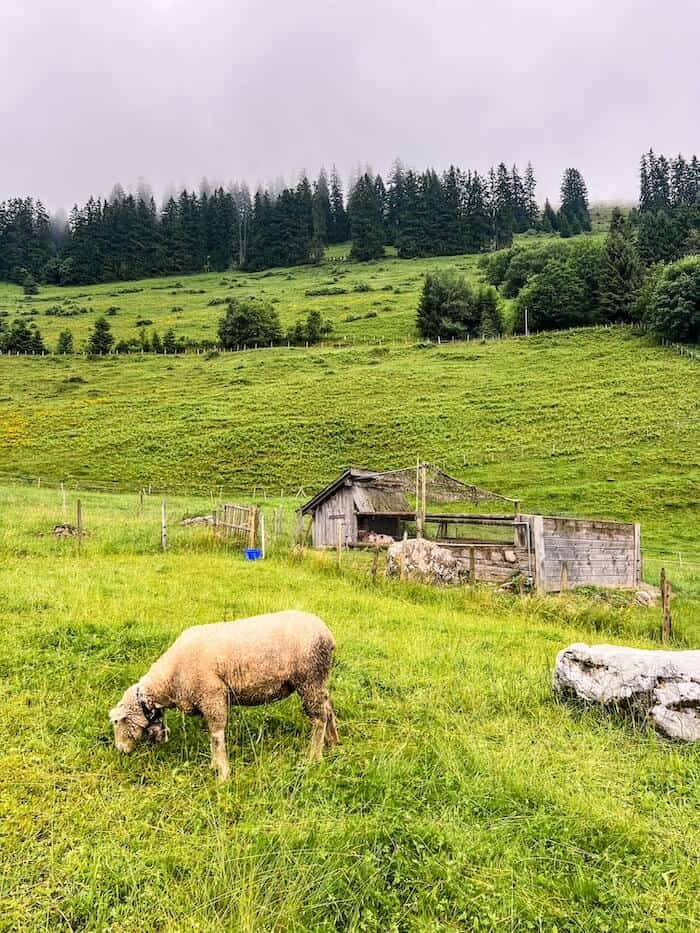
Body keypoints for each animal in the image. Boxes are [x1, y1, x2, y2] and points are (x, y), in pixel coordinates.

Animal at [109, 610, 338, 781]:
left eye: (116, 722)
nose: (120, 750)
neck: (168, 682)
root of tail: (327, 633)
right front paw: (216, 766)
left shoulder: (213, 696)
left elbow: (216, 735)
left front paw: (222, 772)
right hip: (319, 680)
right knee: (328, 709)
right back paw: (333, 743)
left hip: (309, 678)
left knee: (319, 719)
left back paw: (314, 756)